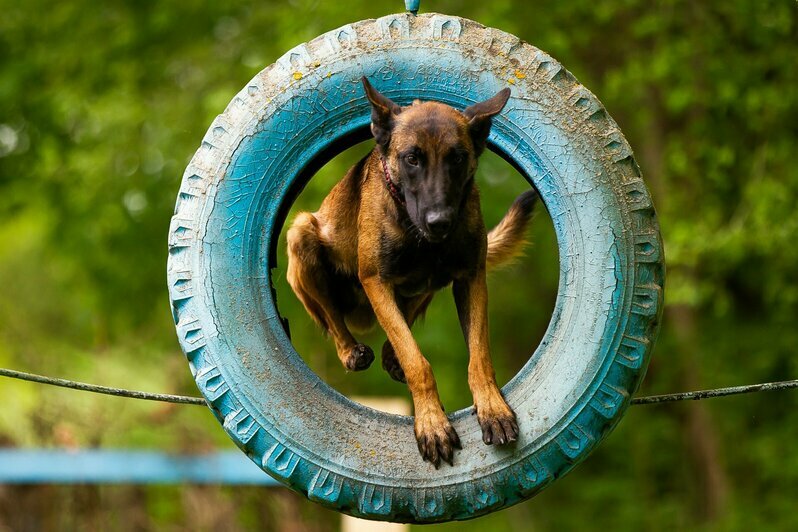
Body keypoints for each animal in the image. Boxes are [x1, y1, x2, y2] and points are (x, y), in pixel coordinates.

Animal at [288, 78, 536, 466]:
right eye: (412, 159)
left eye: (457, 158)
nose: (439, 222)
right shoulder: (377, 282)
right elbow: (417, 362)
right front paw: (432, 424)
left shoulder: (470, 279)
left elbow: (479, 356)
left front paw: (493, 410)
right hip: (302, 233)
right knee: (335, 321)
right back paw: (351, 349)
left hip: (428, 286)